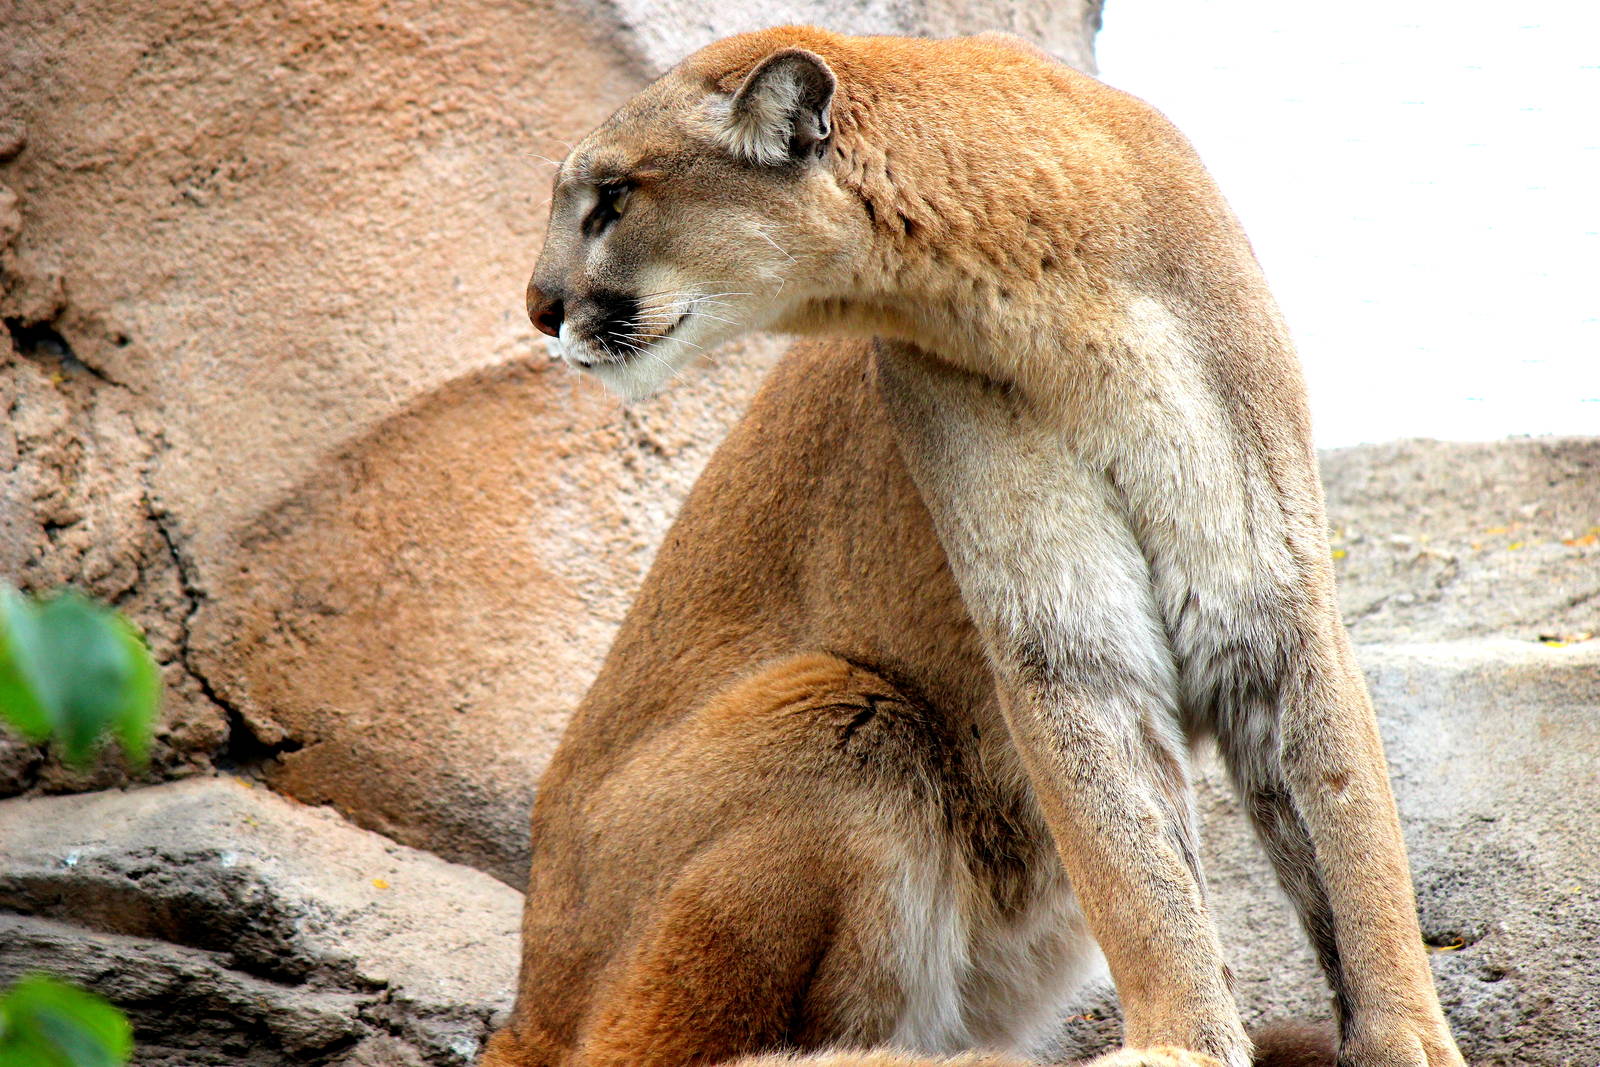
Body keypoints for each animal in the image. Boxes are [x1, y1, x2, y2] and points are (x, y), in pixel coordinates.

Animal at [507, 25, 1462, 1067]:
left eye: (611, 198)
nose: (540, 306)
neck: (1057, 304)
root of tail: (525, 999)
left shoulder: (1267, 597)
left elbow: (1350, 832)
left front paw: (1402, 1037)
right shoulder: (1065, 635)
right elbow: (1137, 864)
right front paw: (1187, 1041)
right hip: (839, 709)